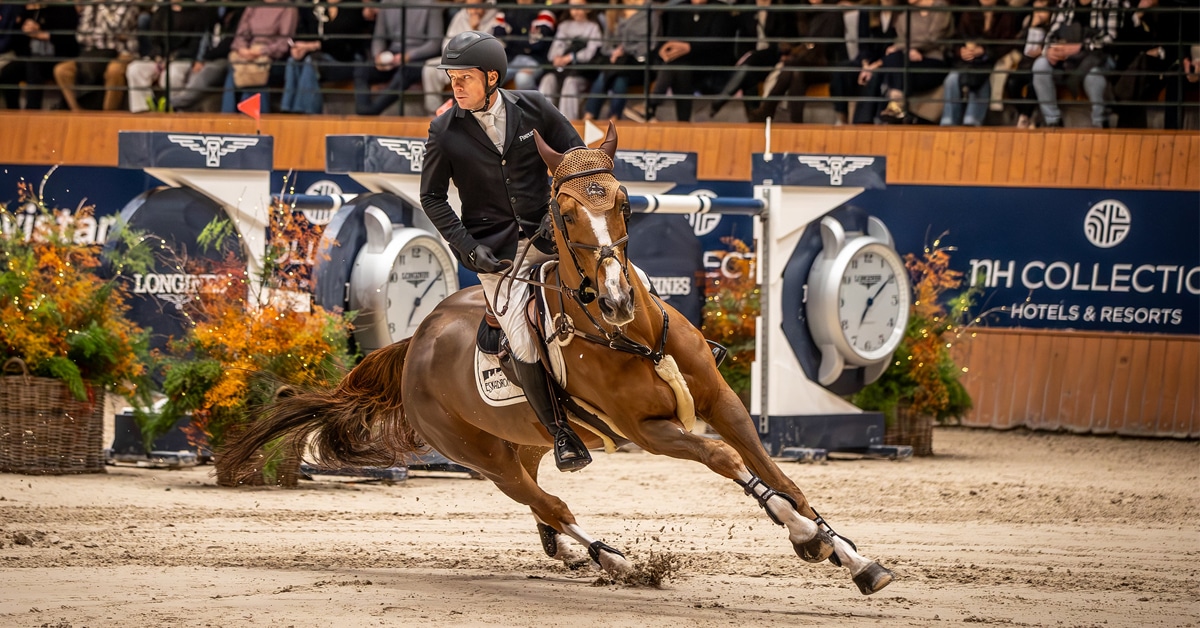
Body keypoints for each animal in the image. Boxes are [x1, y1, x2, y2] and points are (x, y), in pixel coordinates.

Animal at [221, 123, 894, 595]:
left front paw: (852, 557)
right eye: (565, 214)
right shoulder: (648, 432)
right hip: (484, 458)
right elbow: (727, 460)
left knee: (544, 501)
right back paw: (613, 559)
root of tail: (417, 340)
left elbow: (780, 476)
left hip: (528, 438)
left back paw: (570, 552)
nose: (618, 299)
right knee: (548, 503)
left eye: (623, 201)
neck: (633, 334)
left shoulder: (722, 401)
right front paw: (806, 537)